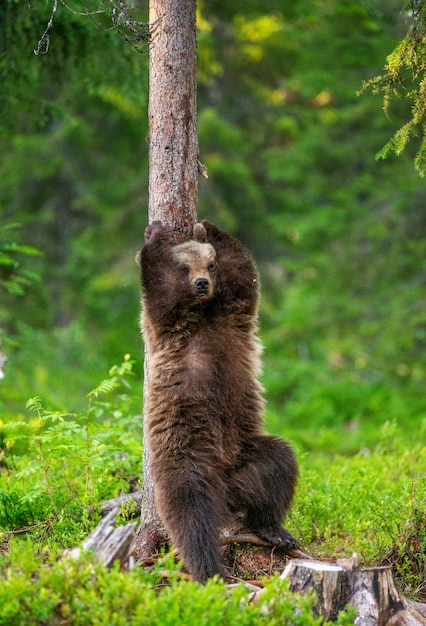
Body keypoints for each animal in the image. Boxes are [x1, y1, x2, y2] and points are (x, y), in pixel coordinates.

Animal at [138, 219, 298, 580]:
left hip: (247, 457)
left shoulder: (233, 311)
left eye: (210, 266)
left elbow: (244, 273)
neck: (203, 311)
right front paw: (155, 235)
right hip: (187, 456)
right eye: (186, 267)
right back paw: (209, 568)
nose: (201, 283)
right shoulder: (169, 327)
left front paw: (207, 227)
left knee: (279, 466)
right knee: (191, 514)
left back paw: (274, 530)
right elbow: (159, 290)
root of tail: (224, 485)